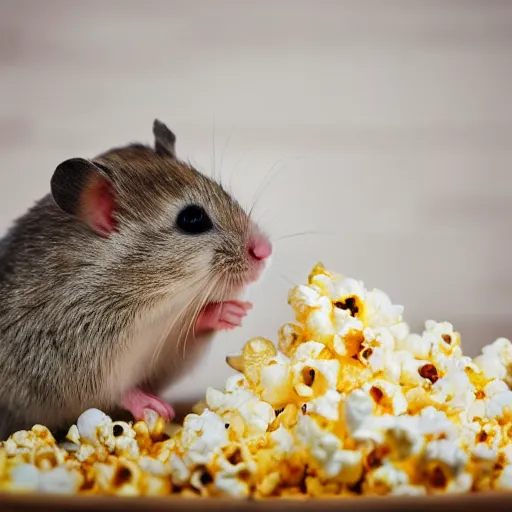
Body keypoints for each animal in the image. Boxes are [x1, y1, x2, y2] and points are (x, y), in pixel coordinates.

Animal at [0, 120, 272, 440]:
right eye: (192, 219)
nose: (265, 251)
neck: (153, 303)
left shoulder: (172, 338)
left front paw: (231, 312)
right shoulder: (79, 364)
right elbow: (119, 392)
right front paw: (155, 407)